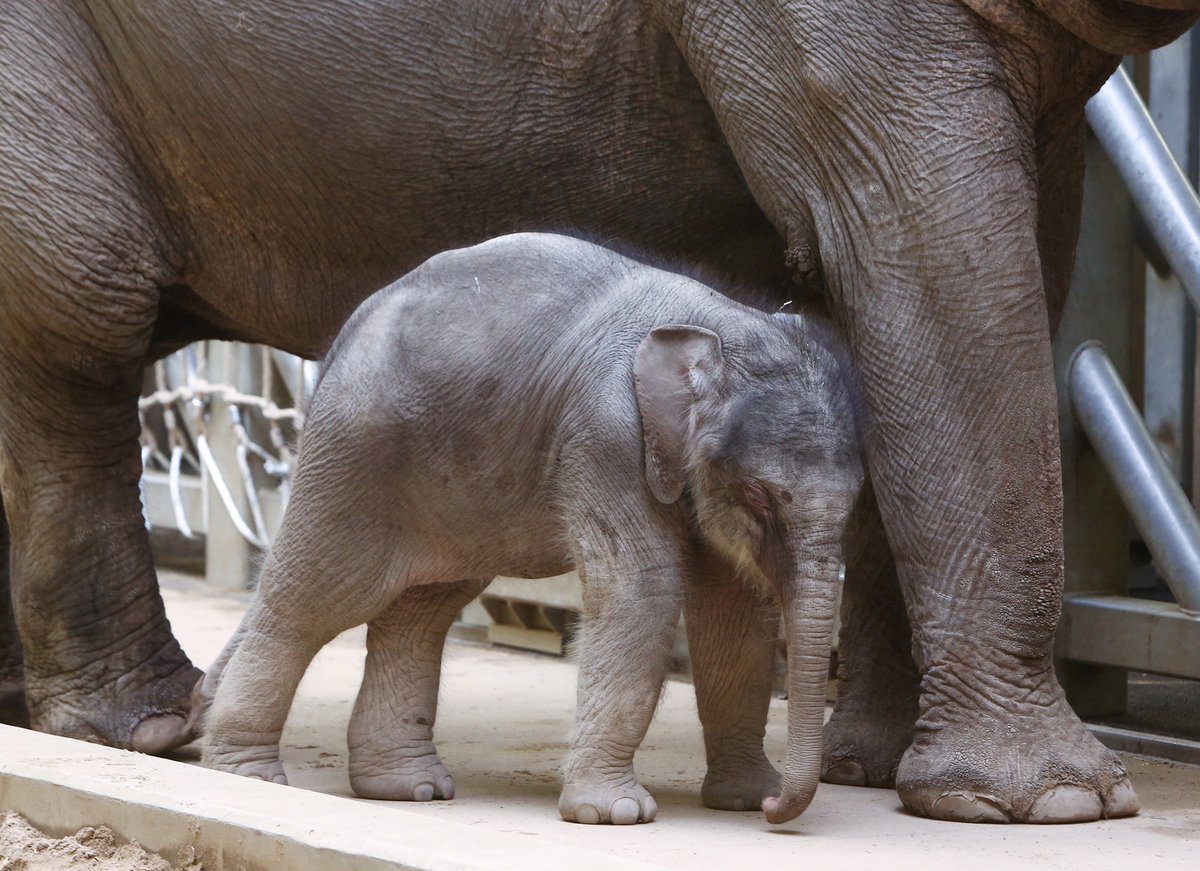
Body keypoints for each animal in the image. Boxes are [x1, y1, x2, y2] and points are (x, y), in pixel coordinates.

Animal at [204, 231, 864, 825]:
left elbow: (738, 614)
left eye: (857, 502)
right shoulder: (606, 432)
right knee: (319, 596)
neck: (723, 323)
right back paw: (249, 777)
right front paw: (615, 814)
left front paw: (747, 799)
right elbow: (641, 591)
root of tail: (344, 335)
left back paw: (409, 790)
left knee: (420, 611)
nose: (779, 811)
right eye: (760, 496)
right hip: (356, 450)